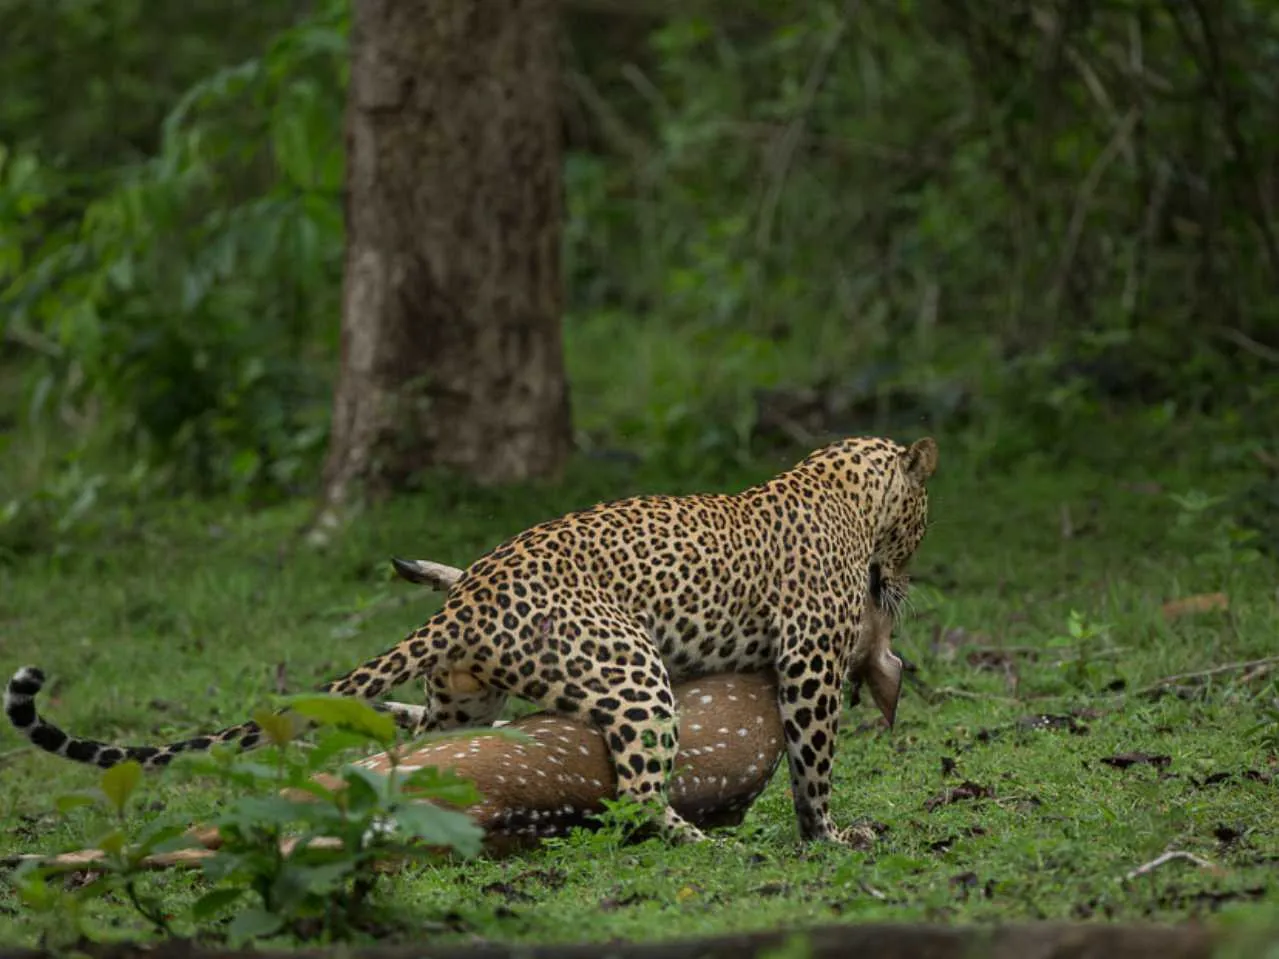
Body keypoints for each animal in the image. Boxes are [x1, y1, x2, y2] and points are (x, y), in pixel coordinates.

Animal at [4, 434, 936, 849]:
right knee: (636, 792)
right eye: (923, 521)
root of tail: (473, 595)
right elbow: (813, 759)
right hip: (630, 670)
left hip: (467, 697)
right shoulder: (808, 664)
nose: (905, 580)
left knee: (412, 738)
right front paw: (828, 835)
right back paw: (699, 842)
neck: (841, 485)